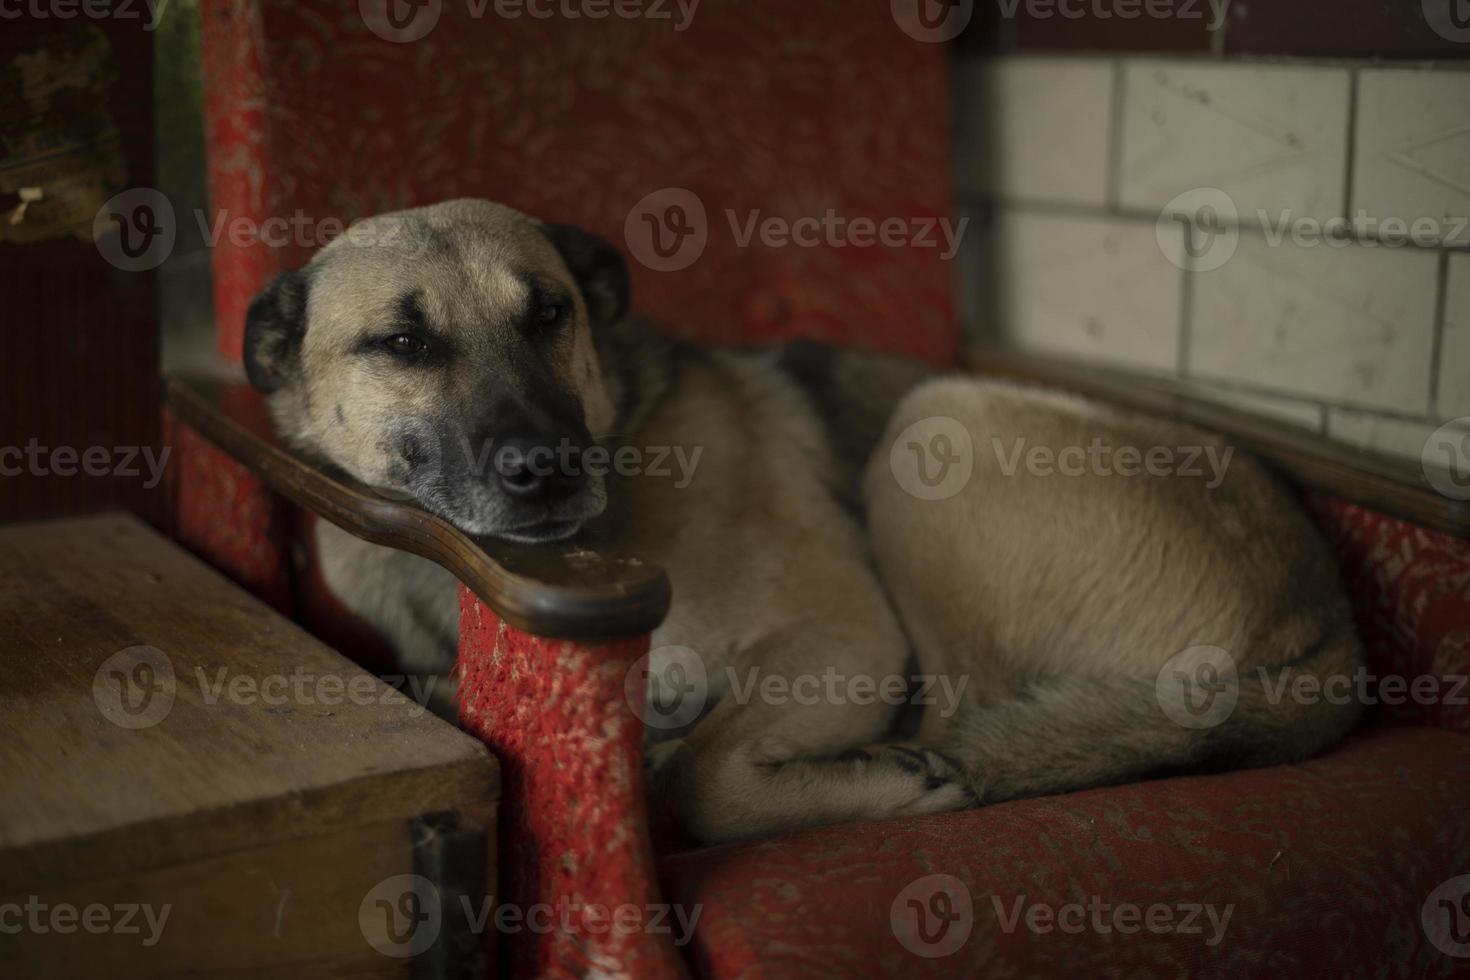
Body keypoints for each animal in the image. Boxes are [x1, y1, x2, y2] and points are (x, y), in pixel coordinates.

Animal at [244, 196, 1364, 846]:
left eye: (551, 314)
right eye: (402, 343)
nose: (553, 466)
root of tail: (1330, 633)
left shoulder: (842, 632)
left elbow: (704, 781)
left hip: (932, 429)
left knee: (963, 716)